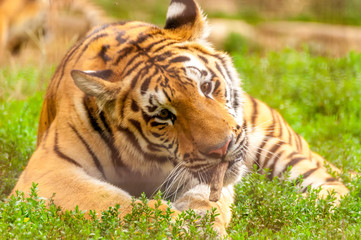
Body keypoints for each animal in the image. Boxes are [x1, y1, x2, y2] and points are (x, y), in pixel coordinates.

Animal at [11, 0, 348, 234]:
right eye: (163, 115)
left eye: (206, 87)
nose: (222, 149)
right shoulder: (47, 171)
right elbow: (112, 203)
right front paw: (180, 224)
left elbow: (208, 196)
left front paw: (204, 220)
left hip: (269, 143)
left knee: (336, 188)